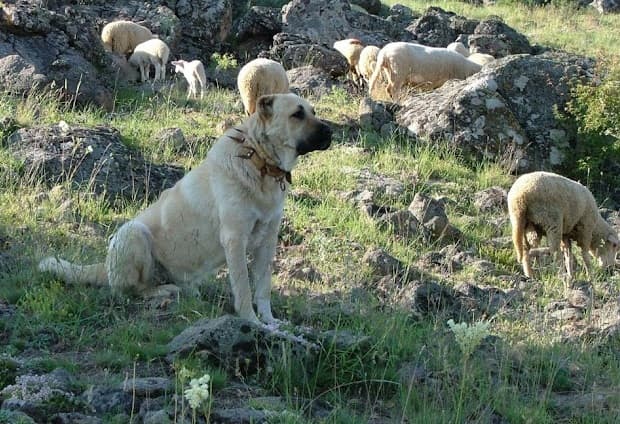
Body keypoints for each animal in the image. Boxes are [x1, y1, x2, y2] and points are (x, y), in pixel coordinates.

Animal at [39, 93, 332, 324]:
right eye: (297, 114)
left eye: (313, 111)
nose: (330, 132)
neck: (259, 161)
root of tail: (105, 266)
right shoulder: (235, 239)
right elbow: (244, 288)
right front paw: (251, 322)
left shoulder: (267, 242)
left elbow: (262, 289)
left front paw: (270, 322)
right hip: (133, 232)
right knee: (133, 290)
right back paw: (164, 291)